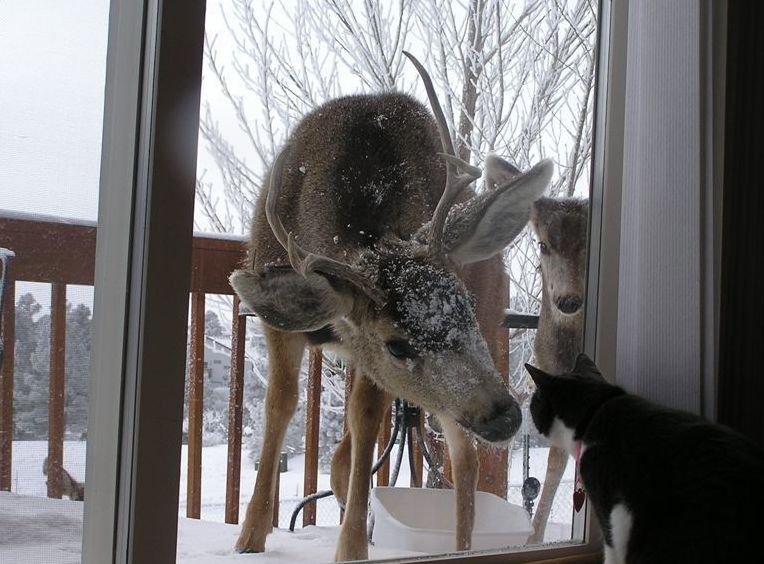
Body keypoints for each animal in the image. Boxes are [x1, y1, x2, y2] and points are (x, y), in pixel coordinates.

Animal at [230, 51, 552, 560]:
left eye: (462, 305)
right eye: (397, 344)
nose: (504, 415)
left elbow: (364, 418)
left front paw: (351, 548)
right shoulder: (285, 326)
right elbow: (281, 404)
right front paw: (250, 536)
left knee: (462, 456)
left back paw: (458, 546)